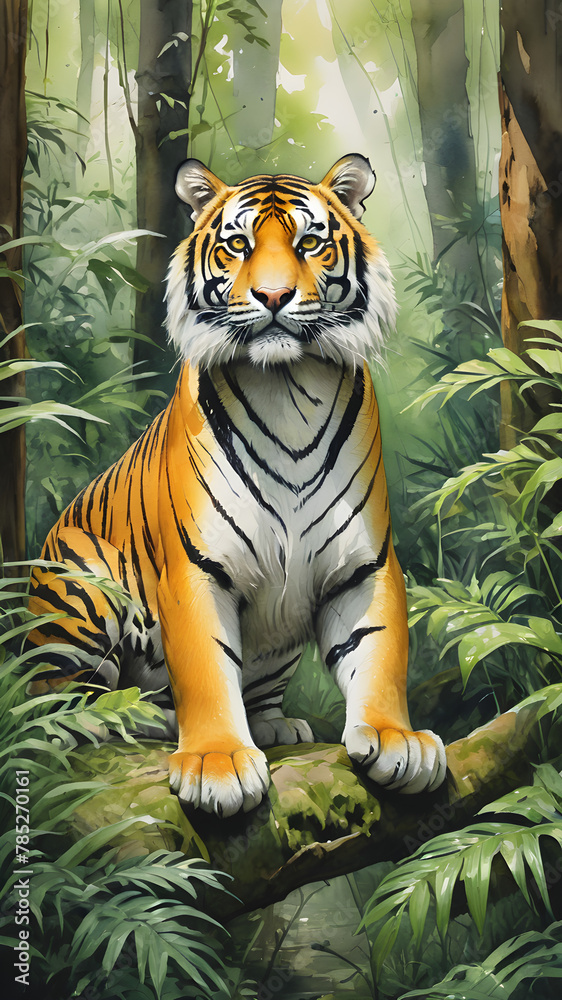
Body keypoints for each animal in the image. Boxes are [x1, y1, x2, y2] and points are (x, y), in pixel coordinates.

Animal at [27, 154, 446, 817]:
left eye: (310, 243)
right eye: (238, 244)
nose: (273, 295)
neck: (288, 388)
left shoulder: (365, 564)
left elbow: (379, 653)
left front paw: (395, 738)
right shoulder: (195, 567)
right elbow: (205, 667)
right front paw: (217, 762)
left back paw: (273, 723)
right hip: (81, 583)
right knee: (61, 698)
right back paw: (128, 718)